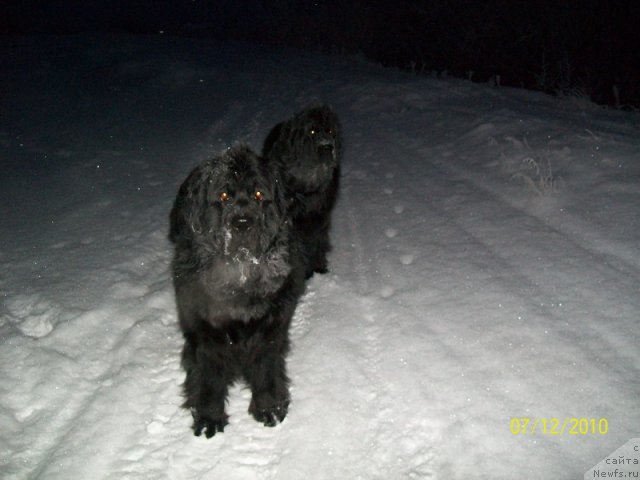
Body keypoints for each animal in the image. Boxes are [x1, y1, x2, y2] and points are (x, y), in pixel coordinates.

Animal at [169, 144, 306, 436]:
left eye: (259, 194)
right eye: (223, 195)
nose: (242, 222)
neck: (241, 279)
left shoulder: (271, 328)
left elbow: (266, 368)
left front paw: (269, 408)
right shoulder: (205, 332)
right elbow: (209, 376)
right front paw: (209, 418)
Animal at [262, 103, 342, 280]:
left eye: (330, 131)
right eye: (312, 131)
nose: (328, 147)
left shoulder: (318, 217)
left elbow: (317, 242)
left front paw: (318, 268)